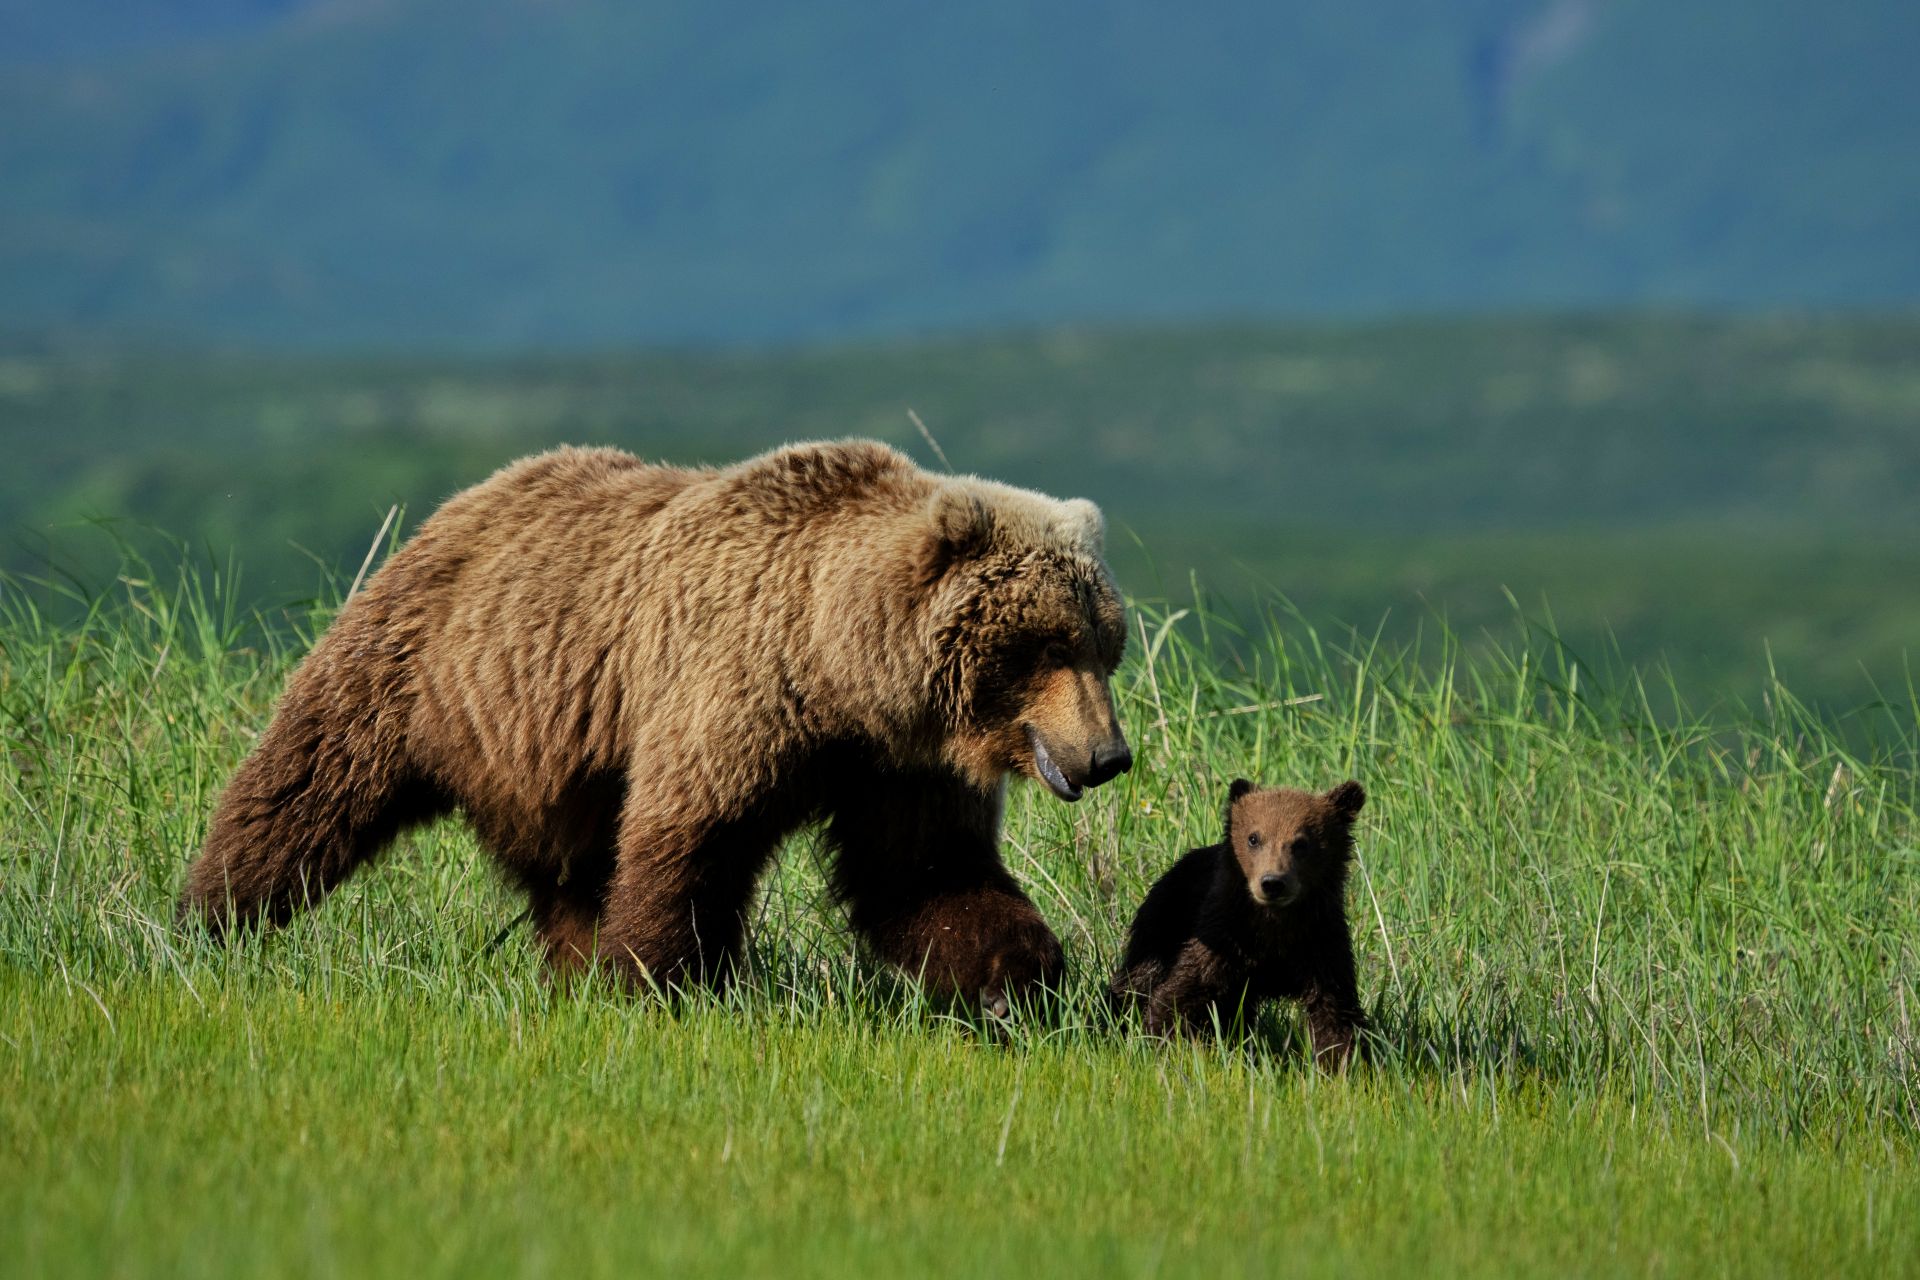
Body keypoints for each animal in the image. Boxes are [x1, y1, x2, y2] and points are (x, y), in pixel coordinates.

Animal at [178, 439, 1133, 1013]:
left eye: (1105, 645)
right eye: (1049, 645)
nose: (1109, 755)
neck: (838, 665)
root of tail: (474, 493)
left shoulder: (895, 764)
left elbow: (923, 872)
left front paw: (1021, 975)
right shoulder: (737, 689)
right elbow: (692, 838)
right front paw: (663, 982)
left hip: (555, 760)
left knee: (570, 874)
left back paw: (569, 972)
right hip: (420, 669)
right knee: (307, 788)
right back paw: (206, 921)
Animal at [1109, 778, 1368, 1067]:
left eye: (1302, 843)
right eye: (1254, 837)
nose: (1272, 883)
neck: (1273, 928)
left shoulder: (1320, 945)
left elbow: (1336, 1013)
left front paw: (1345, 1064)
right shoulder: (1225, 939)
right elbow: (1180, 994)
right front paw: (1167, 1043)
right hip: (1163, 925)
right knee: (1138, 981)